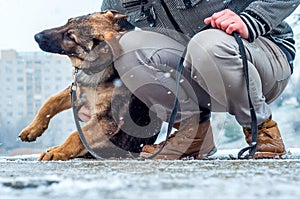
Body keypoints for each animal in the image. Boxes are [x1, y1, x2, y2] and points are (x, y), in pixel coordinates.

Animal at [18, 10, 163, 160]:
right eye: (68, 21)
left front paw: (58, 152)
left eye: (70, 37)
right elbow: (51, 102)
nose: (36, 36)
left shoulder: (106, 121)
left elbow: (76, 135)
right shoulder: (77, 91)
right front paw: (32, 129)